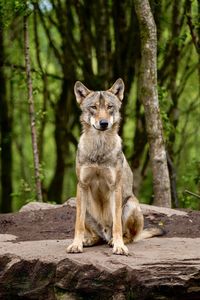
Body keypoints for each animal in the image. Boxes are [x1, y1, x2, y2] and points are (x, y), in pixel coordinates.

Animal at [67, 78, 162, 255]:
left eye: (110, 107)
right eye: (94, 107)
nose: (103, 123)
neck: (99, 147)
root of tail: (105, 232)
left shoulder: (114, 186)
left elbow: (117, 225)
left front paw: (119, 247)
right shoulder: (82, 185)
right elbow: (78, 225)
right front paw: (76, 244)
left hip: (131, 204)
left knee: (129, 236)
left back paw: (114, 241)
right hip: (83, 205)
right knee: (96, 235)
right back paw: (89, 240)